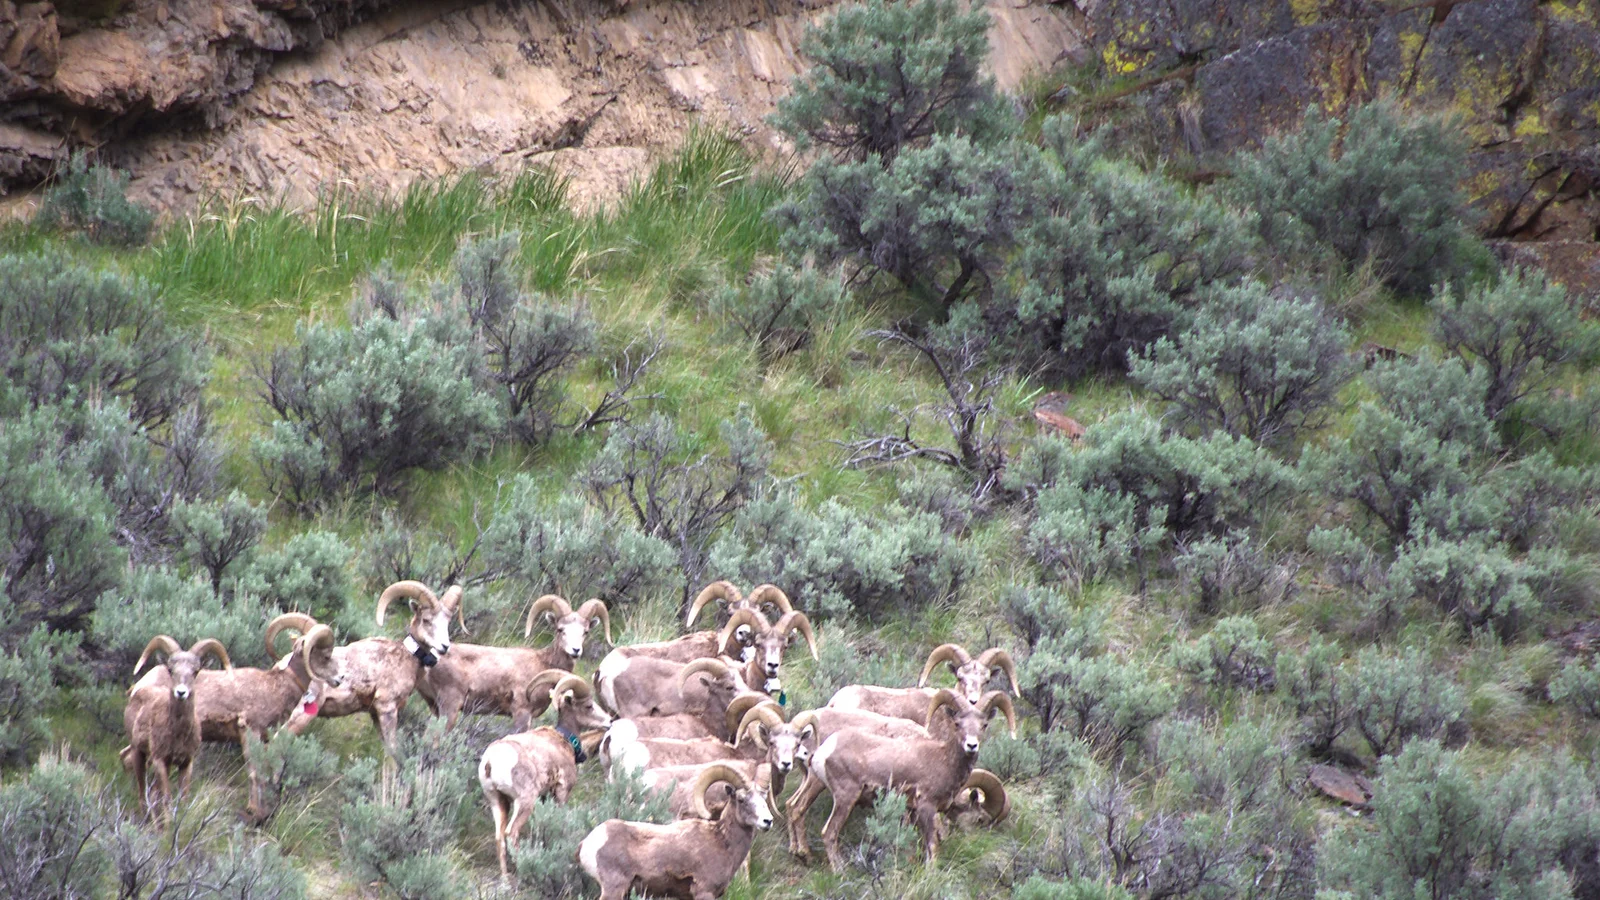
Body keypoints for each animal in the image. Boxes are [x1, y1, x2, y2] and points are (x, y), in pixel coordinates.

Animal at [120, 635, 231, 820]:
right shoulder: (160, 761)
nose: (181, 693)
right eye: (171, 670)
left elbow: (183, 799)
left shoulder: (186, 763)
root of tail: (136, 692)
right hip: (139, 753)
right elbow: (167, 798)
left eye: (195, 671)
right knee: (142, 789)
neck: (179, 734)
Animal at [283, 580, 458, 754]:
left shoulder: (375, 714)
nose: (444, 646)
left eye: (448, 622)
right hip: (300, 715)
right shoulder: (387, 708)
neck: (405, 658)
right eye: (426, 620)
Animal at [479, 670, 613, 879]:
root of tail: (490, 761)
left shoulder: (545, 797)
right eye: (589, 706)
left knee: (499, 837)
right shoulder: (561, 792)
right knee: (511, 833)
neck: (564, 740)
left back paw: (506, 878)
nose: (610, 721)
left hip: (498, 801)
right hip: (524, 801)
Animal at [578, 763, 773, 900]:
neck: (722, 841)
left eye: (764, 798)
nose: (768, 821)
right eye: (741, 799)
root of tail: (588, 842)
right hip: (613, 889)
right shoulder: (704, 891)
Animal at [790, 689, 1015, 871]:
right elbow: (932, 845)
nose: (971, 745)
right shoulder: (926, 806)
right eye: (958, 723)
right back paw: (839, 870)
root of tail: (825, 750)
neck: (943, 760)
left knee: (794, 807)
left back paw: (801, 854)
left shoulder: (910, 810)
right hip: (844, 798)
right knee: (828, 832)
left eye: (984, 725)